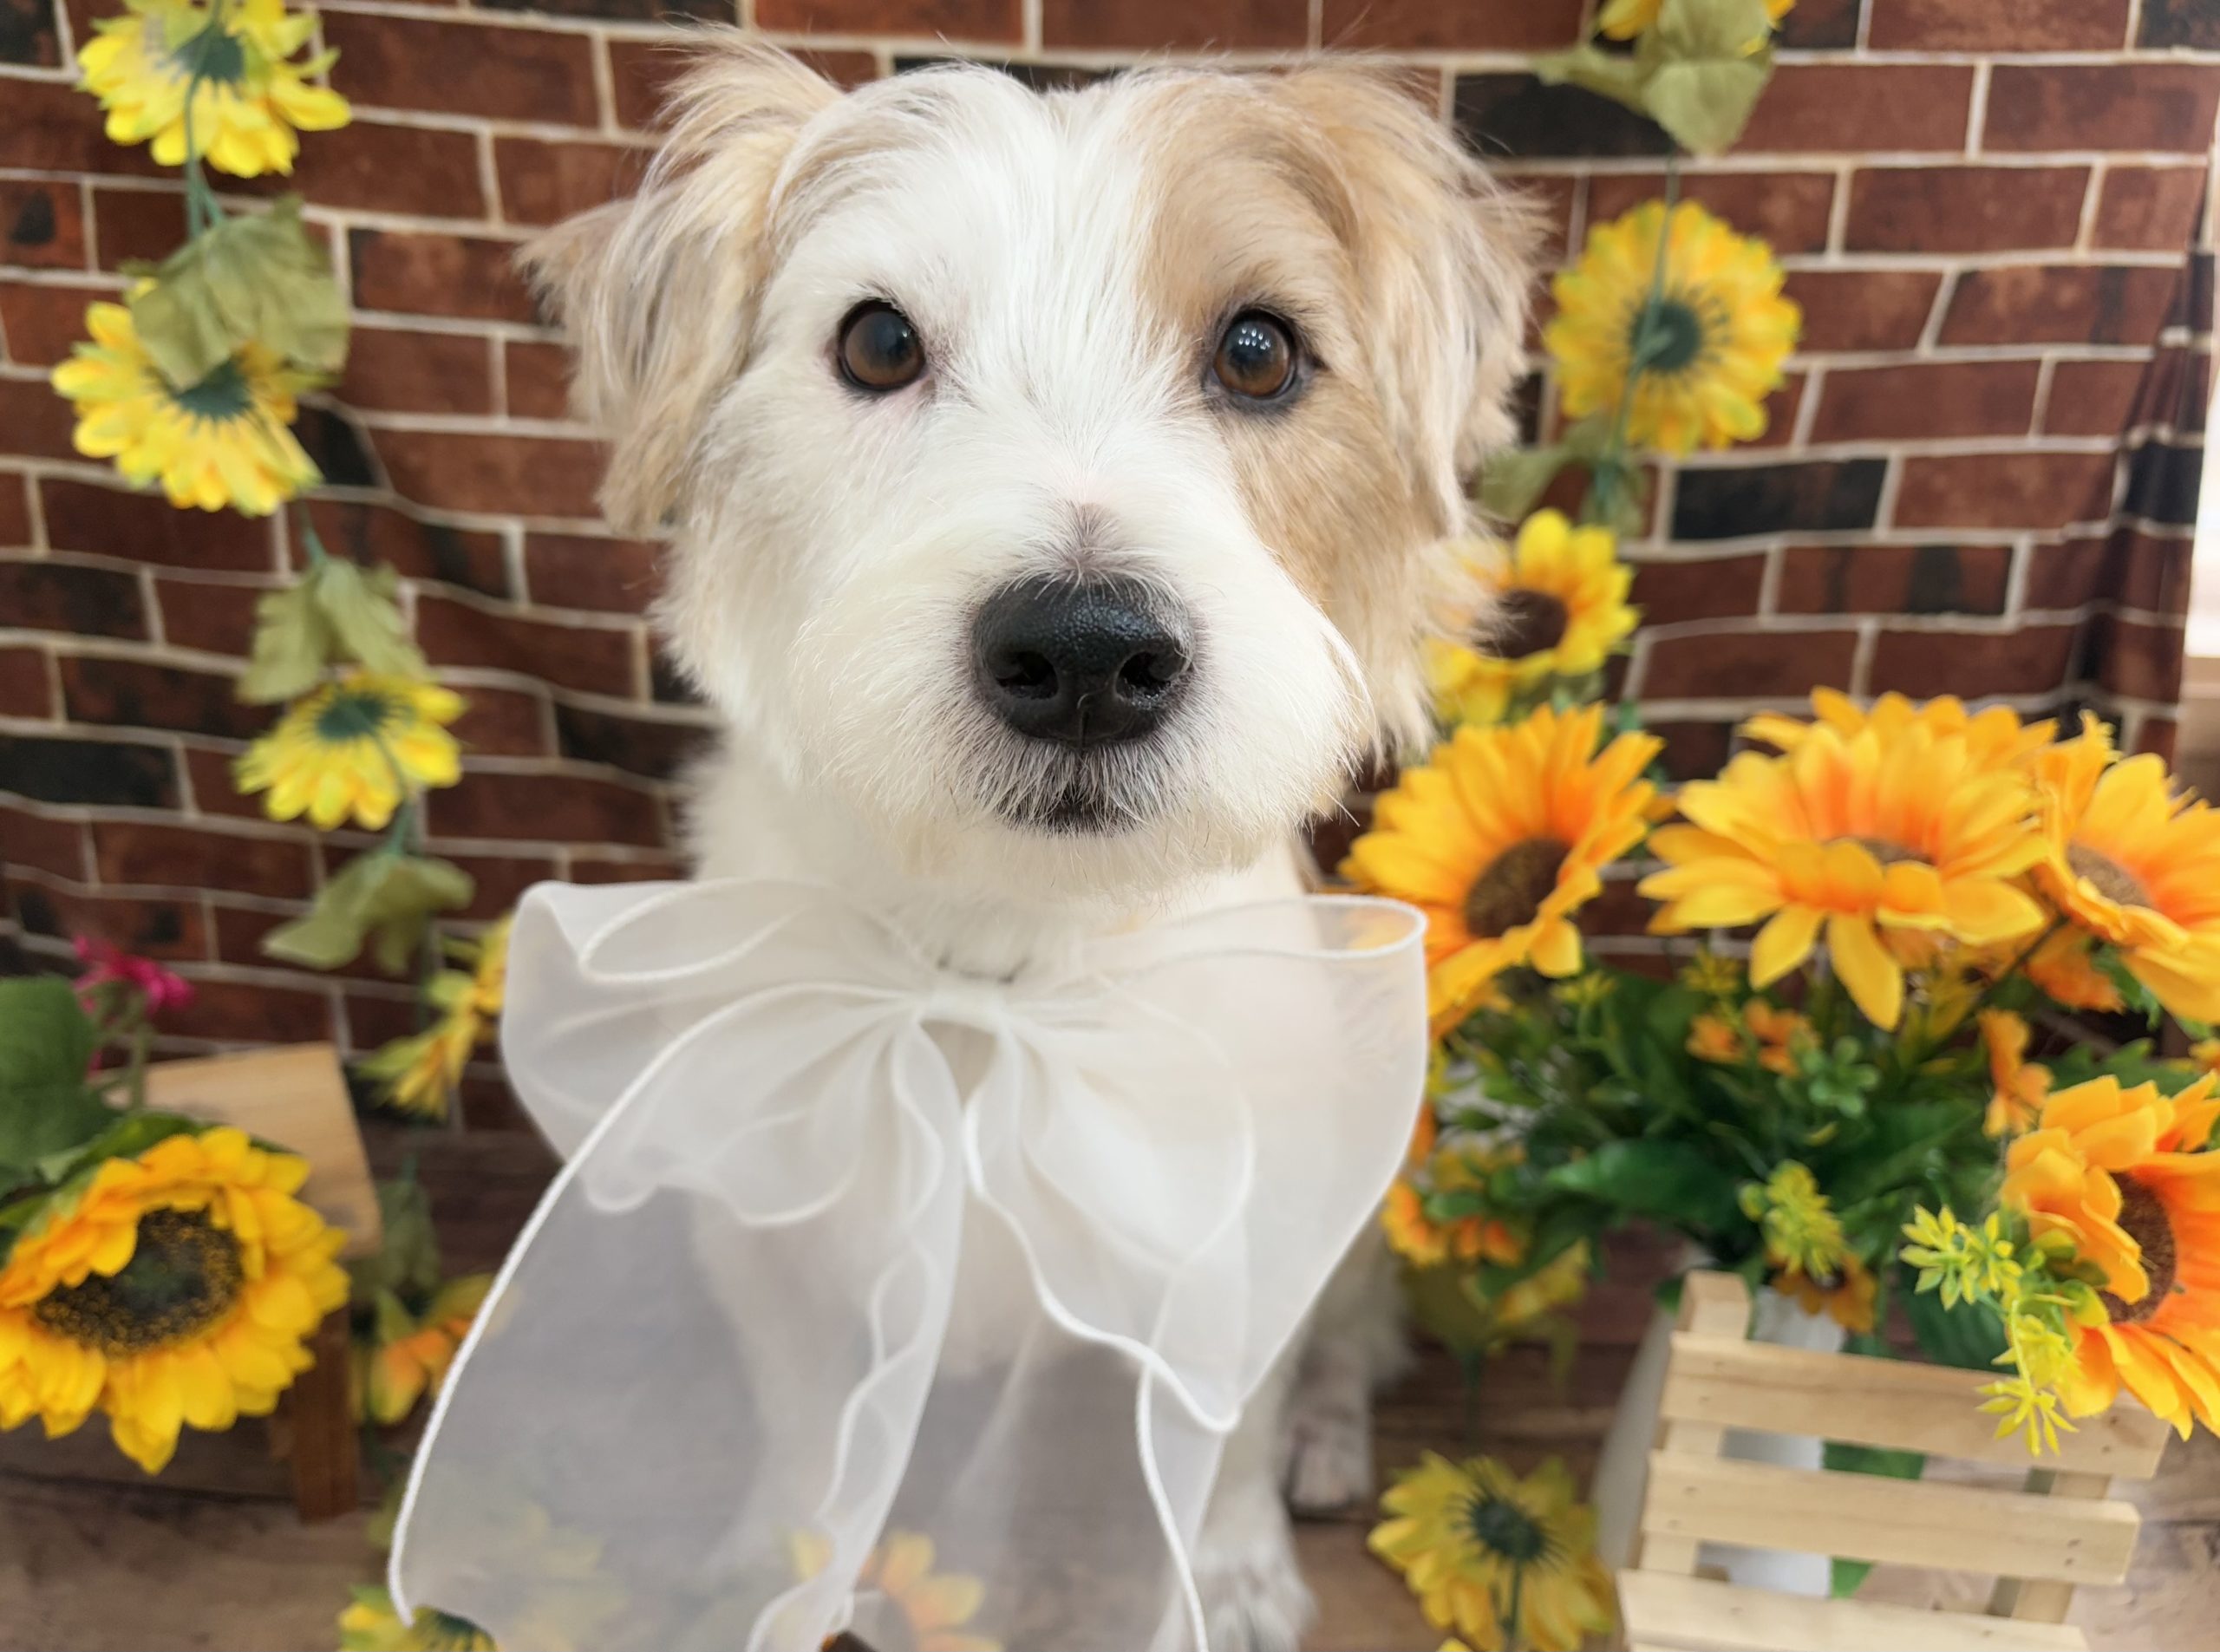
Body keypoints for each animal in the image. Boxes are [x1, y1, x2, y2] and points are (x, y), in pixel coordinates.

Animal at [522, 36, 1537, 1650]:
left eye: (1261, 352)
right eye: (878, 342)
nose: (1085, 655)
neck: (1005, 958)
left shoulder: (1241, 1254)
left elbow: (1226, 1444)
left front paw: (1231, 1574)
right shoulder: (773, 1236)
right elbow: (803, 1422)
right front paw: (781, 1564)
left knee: (1346, 1345)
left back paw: (1329, 1446)